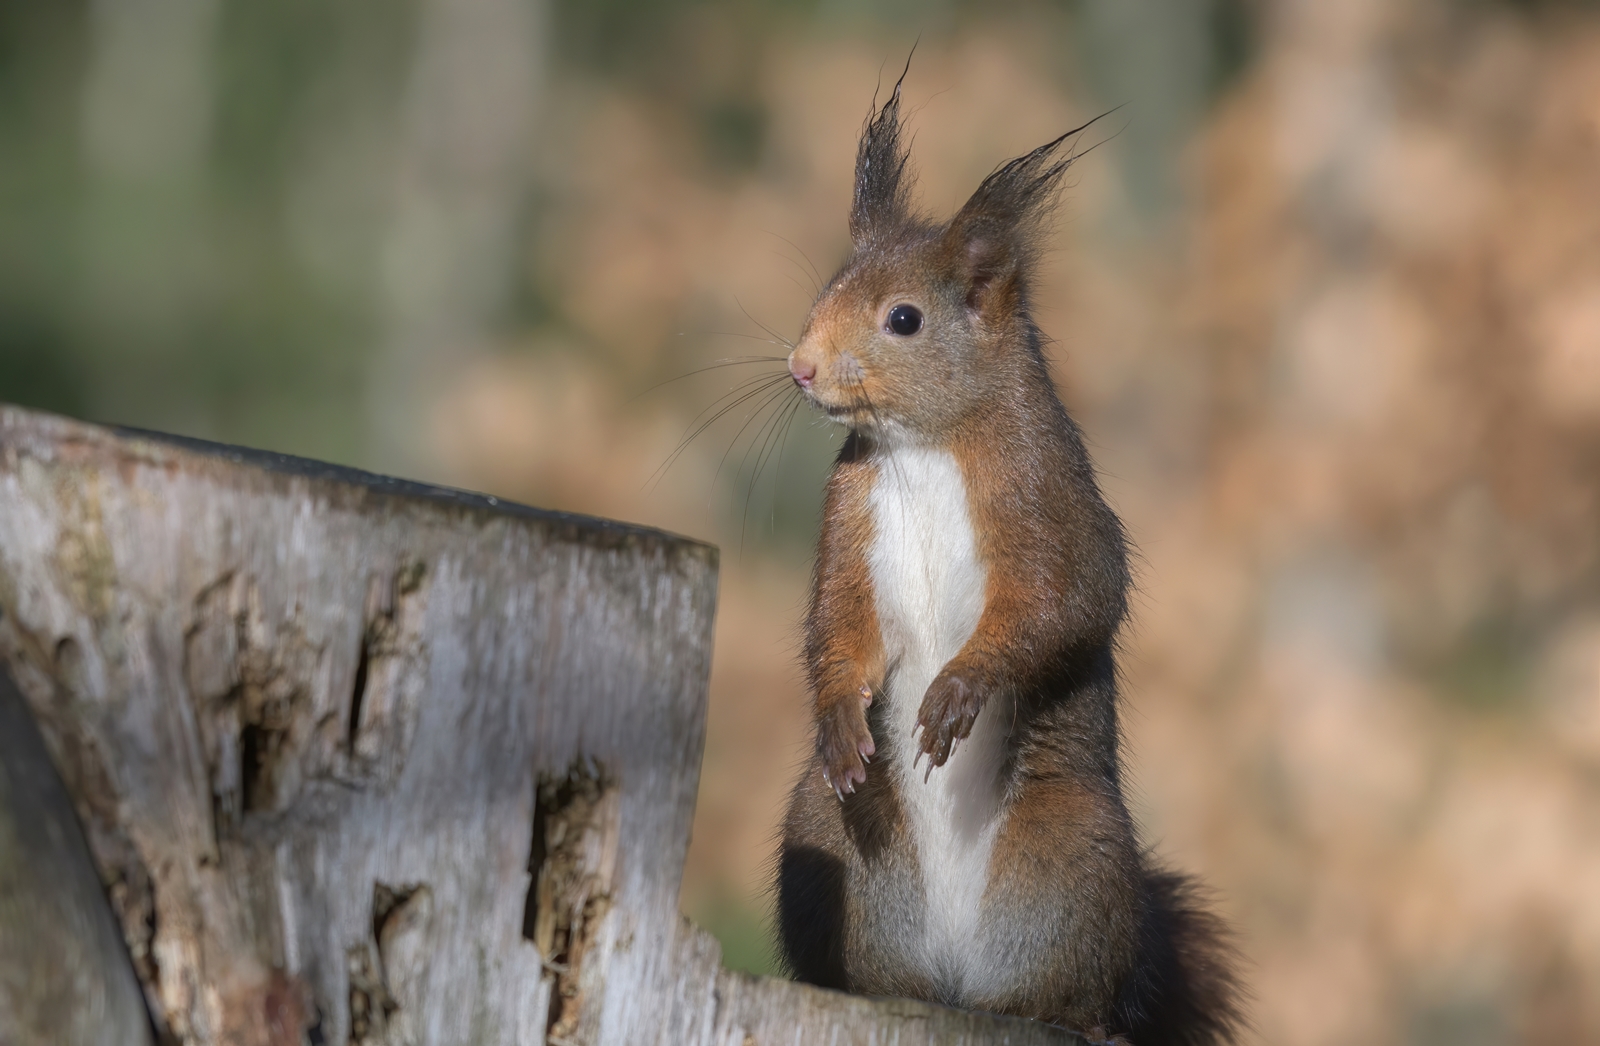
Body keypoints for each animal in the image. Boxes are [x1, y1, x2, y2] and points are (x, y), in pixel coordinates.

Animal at [774, 75, 1248, 1046]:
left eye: (904, 319)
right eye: (828, 286)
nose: (800, 367)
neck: (922, 444)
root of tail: (957, 980)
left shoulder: (1046, 496)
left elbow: (1068, 598)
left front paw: (961, 688)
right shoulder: (849, 522)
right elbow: (838, 621)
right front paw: (840, 715)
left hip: (1076, 856)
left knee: (1073, 986)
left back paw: (1081, 1015)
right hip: (829, 837)